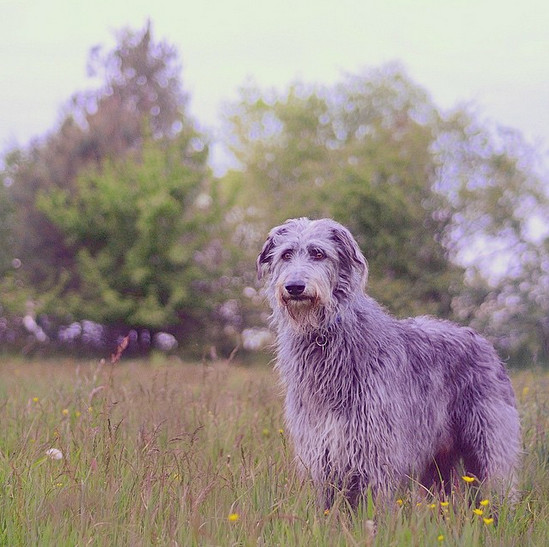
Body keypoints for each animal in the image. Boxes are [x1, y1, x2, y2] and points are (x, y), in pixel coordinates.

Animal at [256, 218, 520, 510]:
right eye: (286, 254)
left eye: (318, 253)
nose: (294, 287)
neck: (325, 338)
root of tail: (486, 344)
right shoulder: (323, 452)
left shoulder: (376, 449)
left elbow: (376, 507)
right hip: (437, 458)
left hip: (488, 439)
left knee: (498, 481)